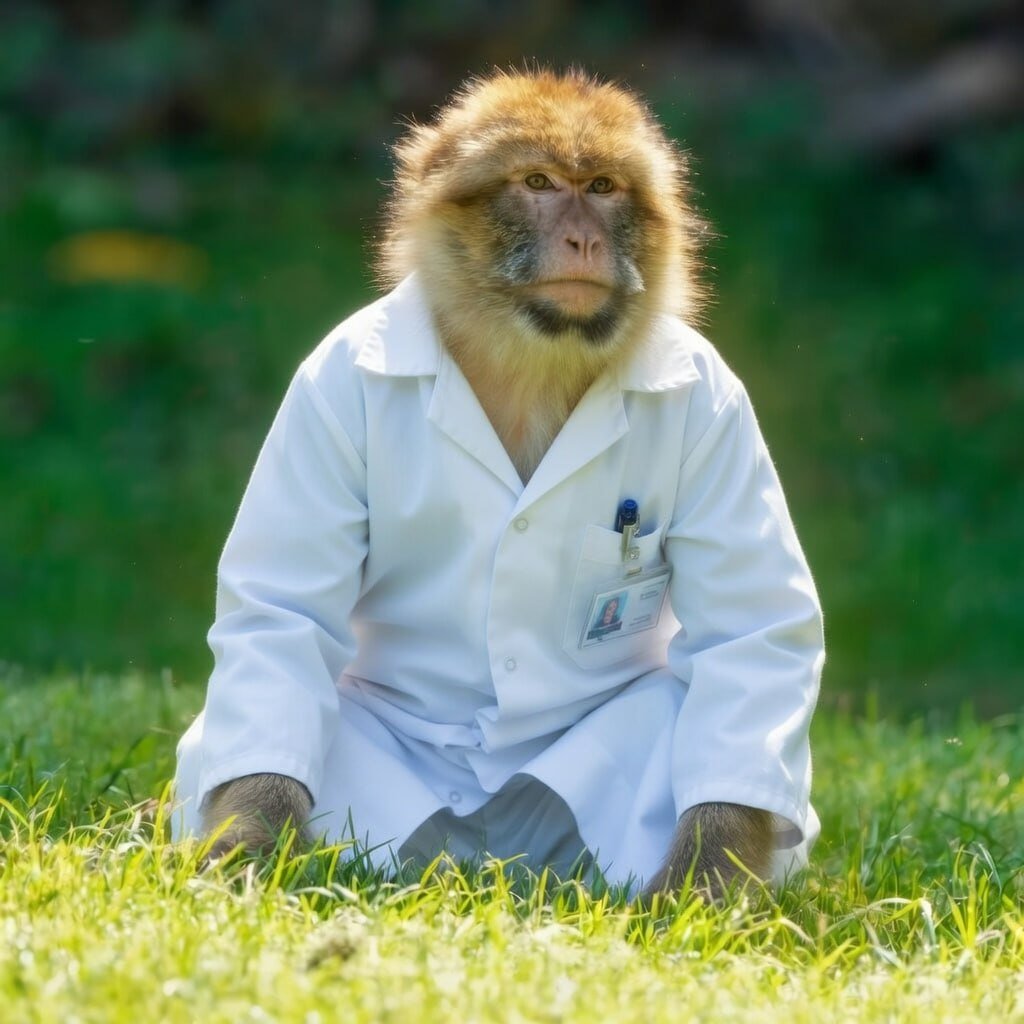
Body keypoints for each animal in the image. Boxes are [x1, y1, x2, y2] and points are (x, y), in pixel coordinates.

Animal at [192, 69, 820, 901]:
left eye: (603, 187)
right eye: (539, 183)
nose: (585, 237)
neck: (530, 357)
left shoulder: (720, 404)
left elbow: (750, 634)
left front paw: (707, 881)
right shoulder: (323, 391)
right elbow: (284, 613)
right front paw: (250, 845)